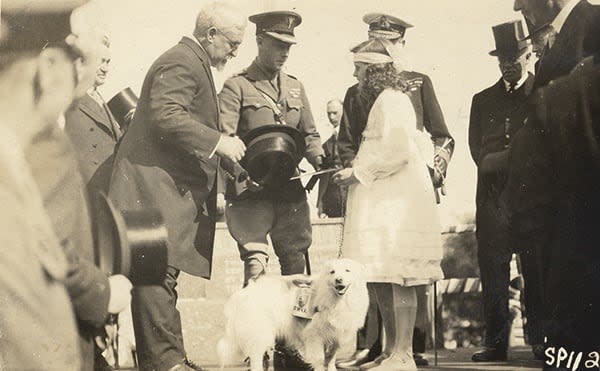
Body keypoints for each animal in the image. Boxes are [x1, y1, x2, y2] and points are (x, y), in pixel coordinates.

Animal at [219, 260, 370, 371]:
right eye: (332, 272)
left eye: (347, 270)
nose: (339, 279)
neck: (337, 300)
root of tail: (243, 293)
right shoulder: (315, 336)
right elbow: (320, 360)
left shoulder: (335, 336)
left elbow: (331, 360)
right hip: (259, 332)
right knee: (256, 357)